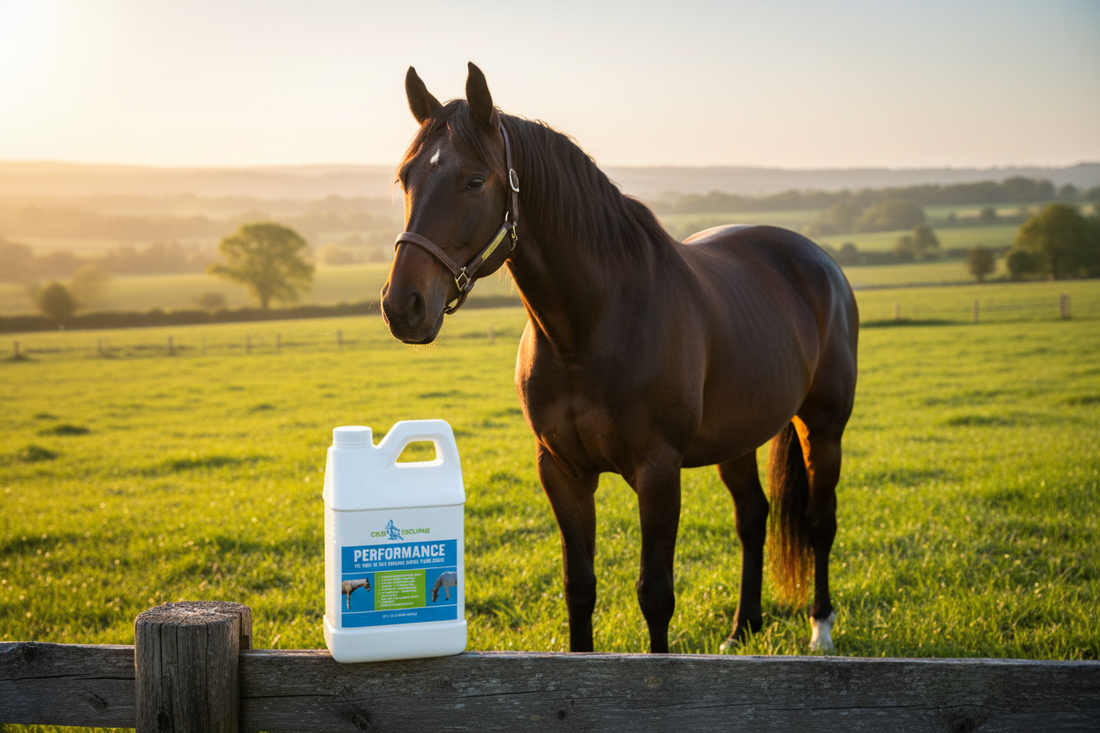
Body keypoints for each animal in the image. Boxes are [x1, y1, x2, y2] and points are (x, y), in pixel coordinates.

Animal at [382, 63, 858, 654]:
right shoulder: (562, 472)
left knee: (819, 523)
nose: (403, 305)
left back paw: (821, 630)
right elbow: (579, 586)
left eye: (473, 181)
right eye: (405, 178)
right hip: (737, 437)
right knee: (753, 518)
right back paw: (742, 627)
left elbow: (655, 593)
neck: (589, 331)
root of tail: (817, 259)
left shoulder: (658, 473)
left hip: (823, 428)